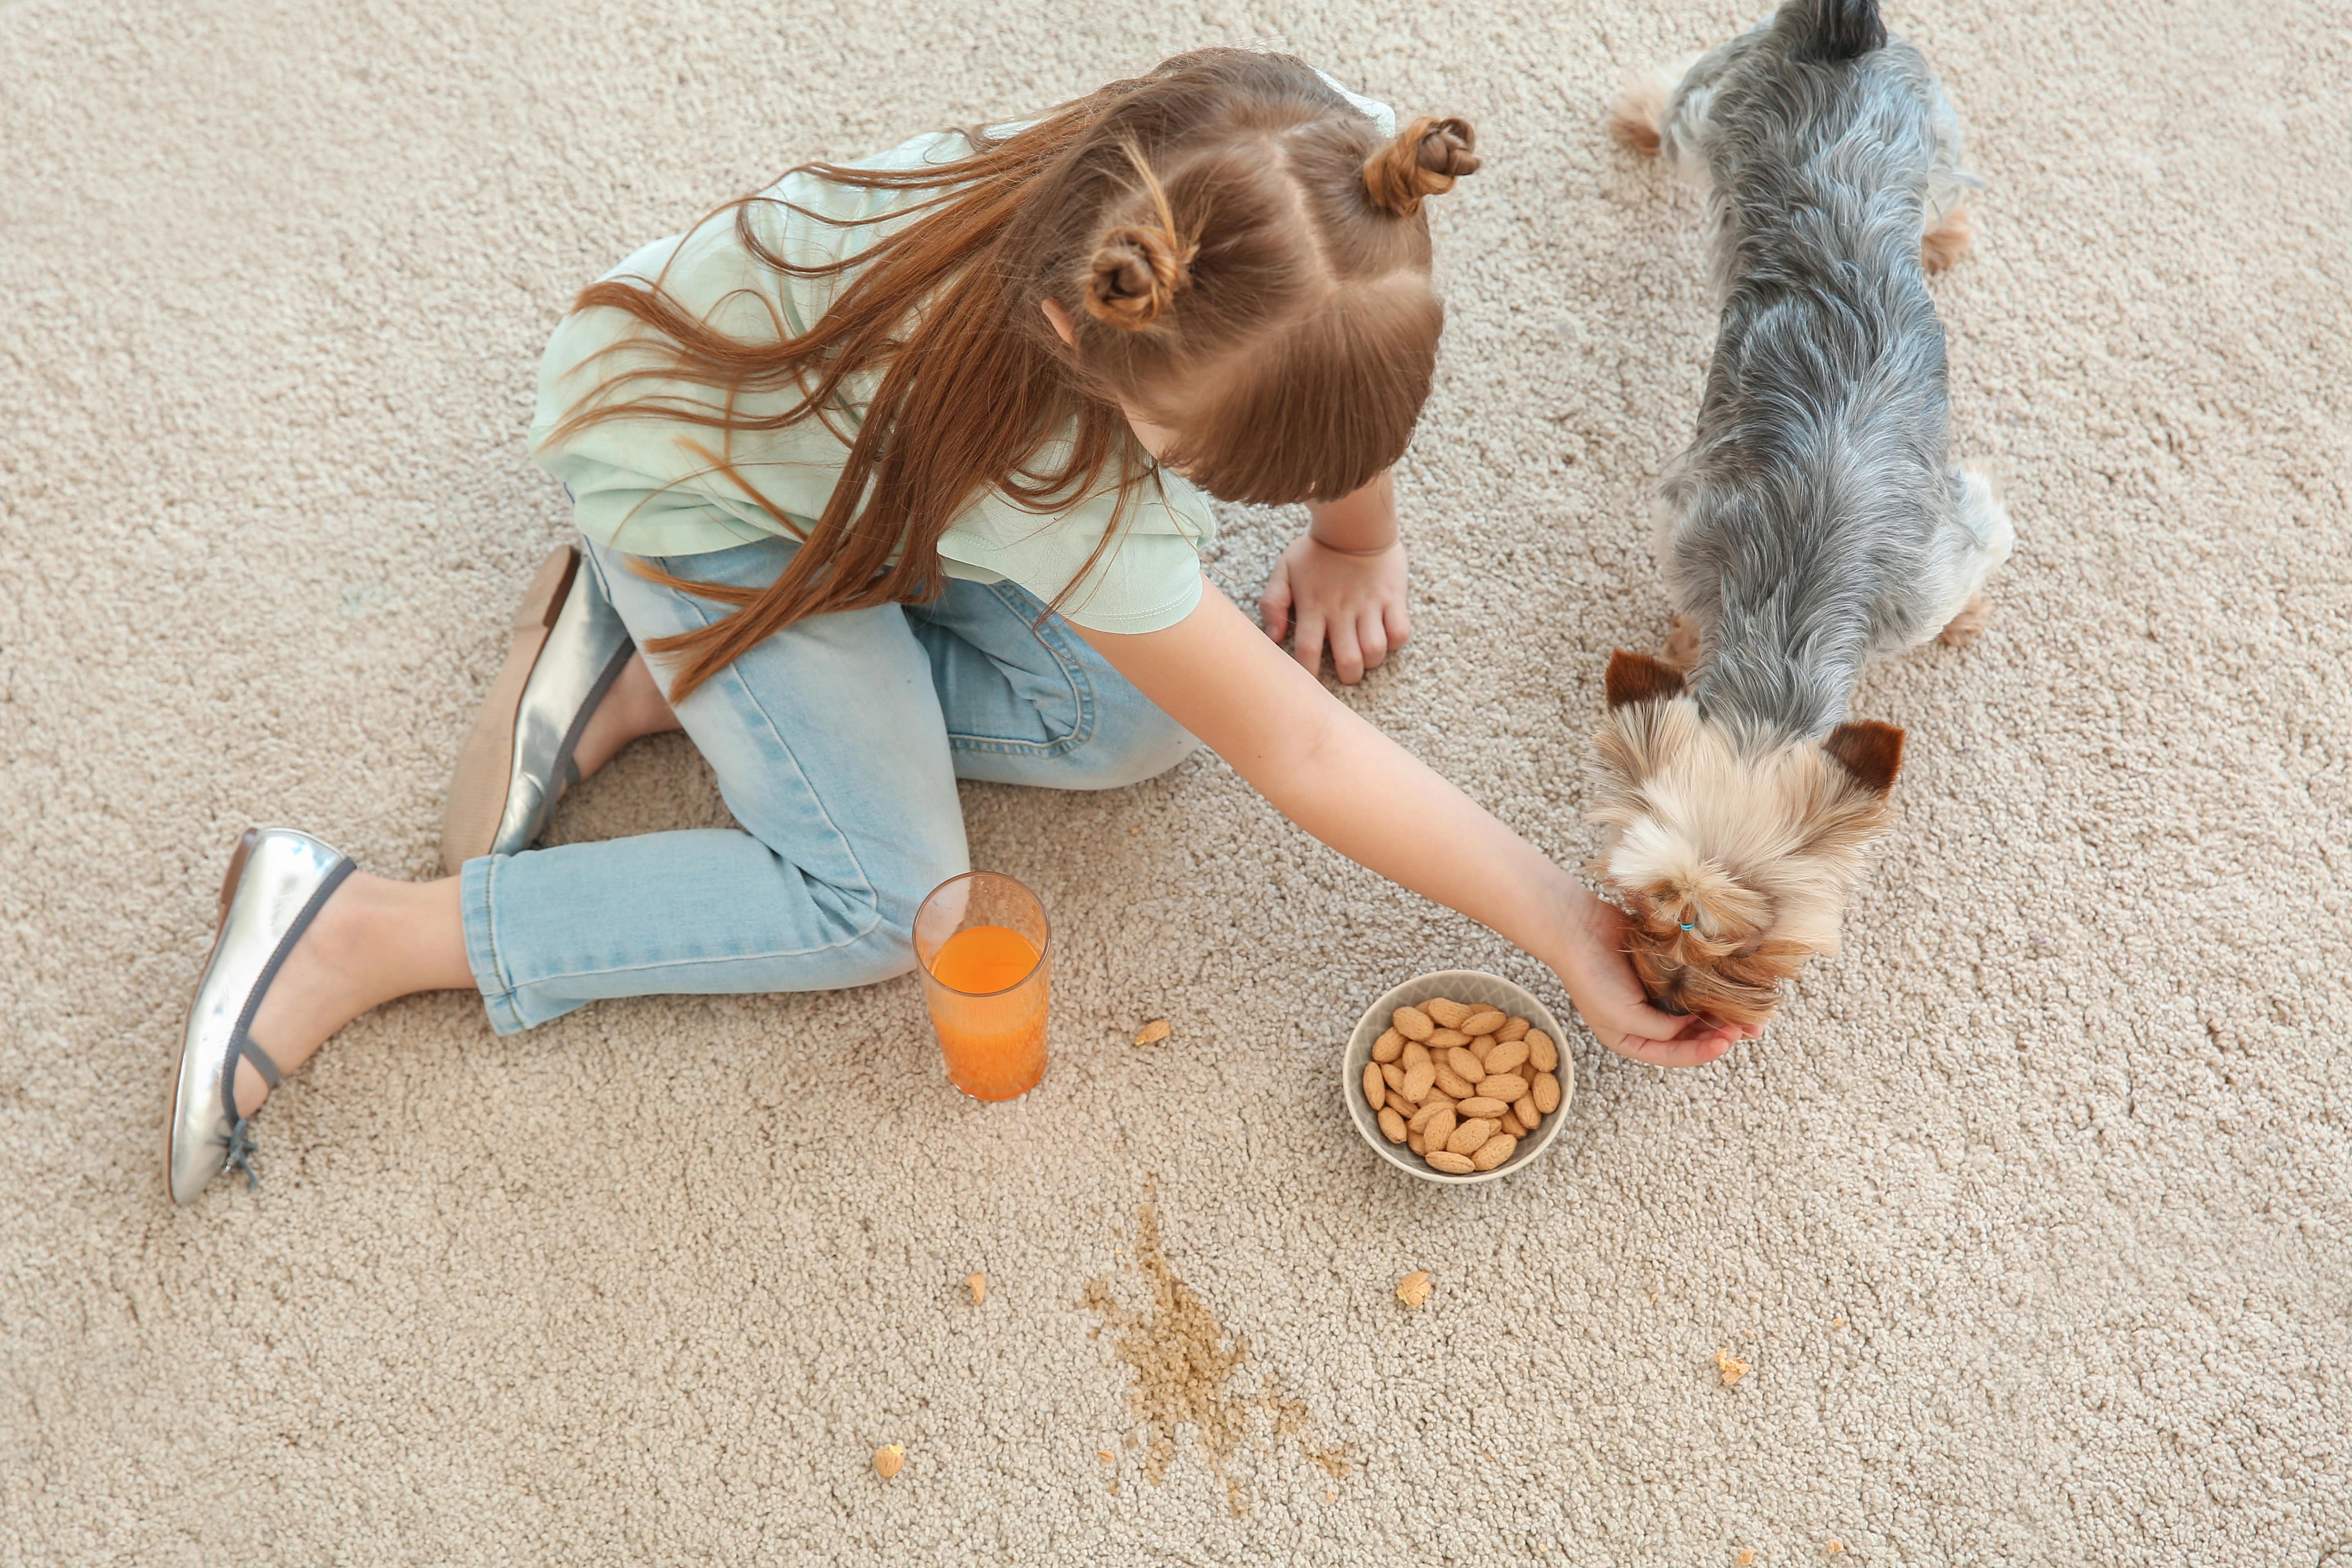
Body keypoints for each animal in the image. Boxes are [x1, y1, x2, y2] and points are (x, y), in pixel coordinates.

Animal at [1590, 3, 2013, 1029]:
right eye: (1650, 906)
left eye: (1750, 942)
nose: (1663, 996)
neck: (1782, 633)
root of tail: (1839, 38)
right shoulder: (1686, 531)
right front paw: (1684, 645)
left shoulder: (1947, 552)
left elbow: (1969, 572)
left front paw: (1973, 617)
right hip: (1714, 116)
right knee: (1674, 102)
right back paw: (1635, 114)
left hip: (1927, 130)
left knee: (1947, 190)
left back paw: (1941, 239)